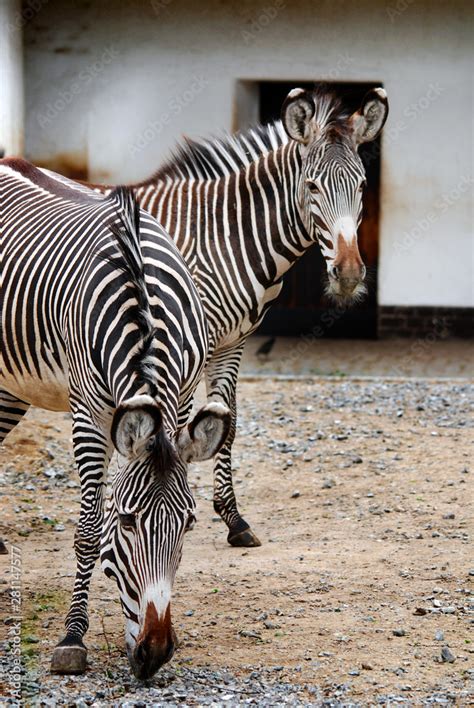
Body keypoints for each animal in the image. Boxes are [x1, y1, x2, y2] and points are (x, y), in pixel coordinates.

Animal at [0, 160, 230, 680]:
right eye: (125, 521)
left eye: (188, 524)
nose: (155, 651)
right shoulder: (88, 413)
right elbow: (87, 529)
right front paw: (71, 638)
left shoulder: (180, 401)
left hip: (11, 386)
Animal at [93, 84, 388, 548]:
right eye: (311, 186)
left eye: (361, 186)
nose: (349, 274)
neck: (224, 234)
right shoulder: (188, 344)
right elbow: (178, 425)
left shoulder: (234, 341)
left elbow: (226, 424)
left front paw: (234, 520)